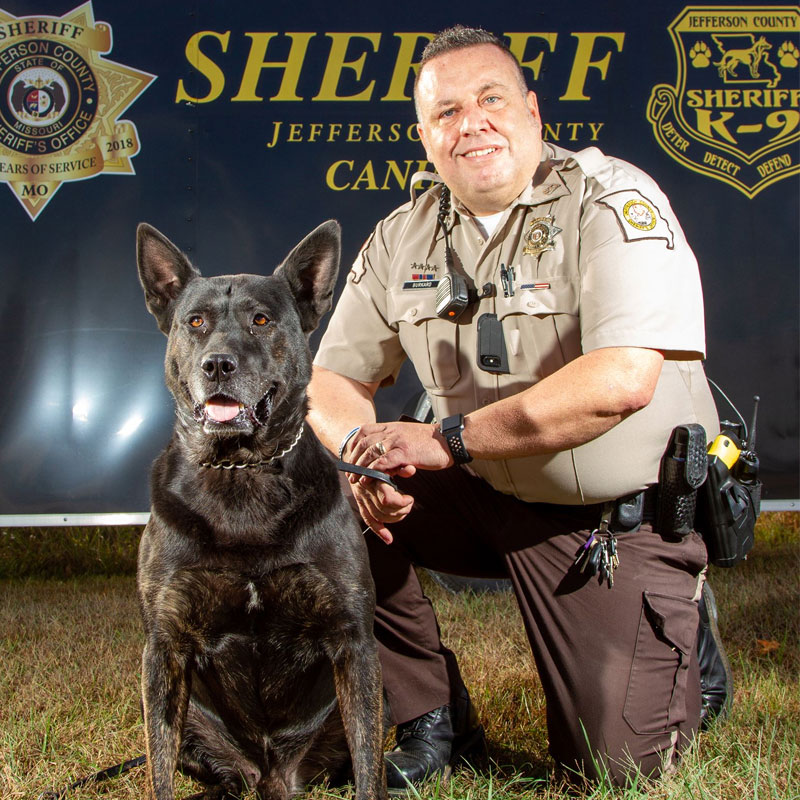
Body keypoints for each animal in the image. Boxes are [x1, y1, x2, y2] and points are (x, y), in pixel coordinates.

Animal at [136, 220, 386, 800]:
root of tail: (272, 775)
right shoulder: (164, 647)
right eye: (196, 322)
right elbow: (158, 770)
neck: (240, 472)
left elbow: (370, 768)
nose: (218, 365)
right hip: (195, 724)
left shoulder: (353, 642)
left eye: (262, 320)